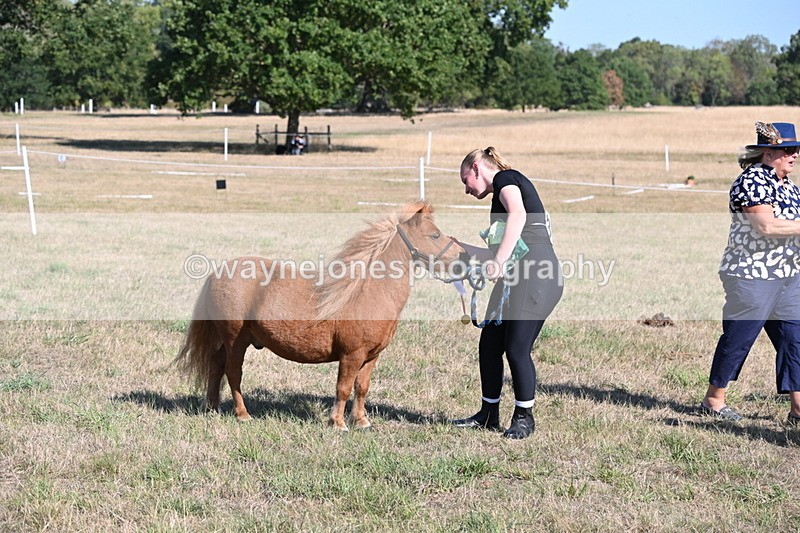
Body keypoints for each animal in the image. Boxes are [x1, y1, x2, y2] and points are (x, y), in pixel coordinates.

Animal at [175, 201, 467, 430]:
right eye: (435, 235)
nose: (463, 258)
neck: (366, 290)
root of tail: (218, 272)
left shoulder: (371, 357)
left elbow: (362, 388)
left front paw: (361, 421)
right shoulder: (351, 355)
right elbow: (343, 387)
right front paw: (338, 423)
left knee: (216, 365)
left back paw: (212, 407)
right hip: (236, 338)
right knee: (233, 372)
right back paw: (242, 414)